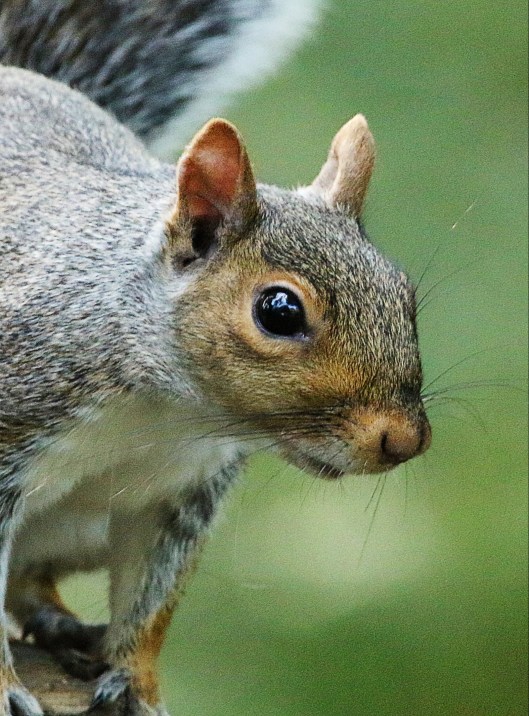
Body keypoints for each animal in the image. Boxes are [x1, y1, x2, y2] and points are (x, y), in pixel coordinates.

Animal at [0, 4, 431, 716]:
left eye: (404, 294)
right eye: (278, 311)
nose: (405, 441)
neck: (163, 410)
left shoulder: (181, 491)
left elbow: (153, 598)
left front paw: (135, 681)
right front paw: (6, 686)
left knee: (31, 579)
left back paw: (61, 623)